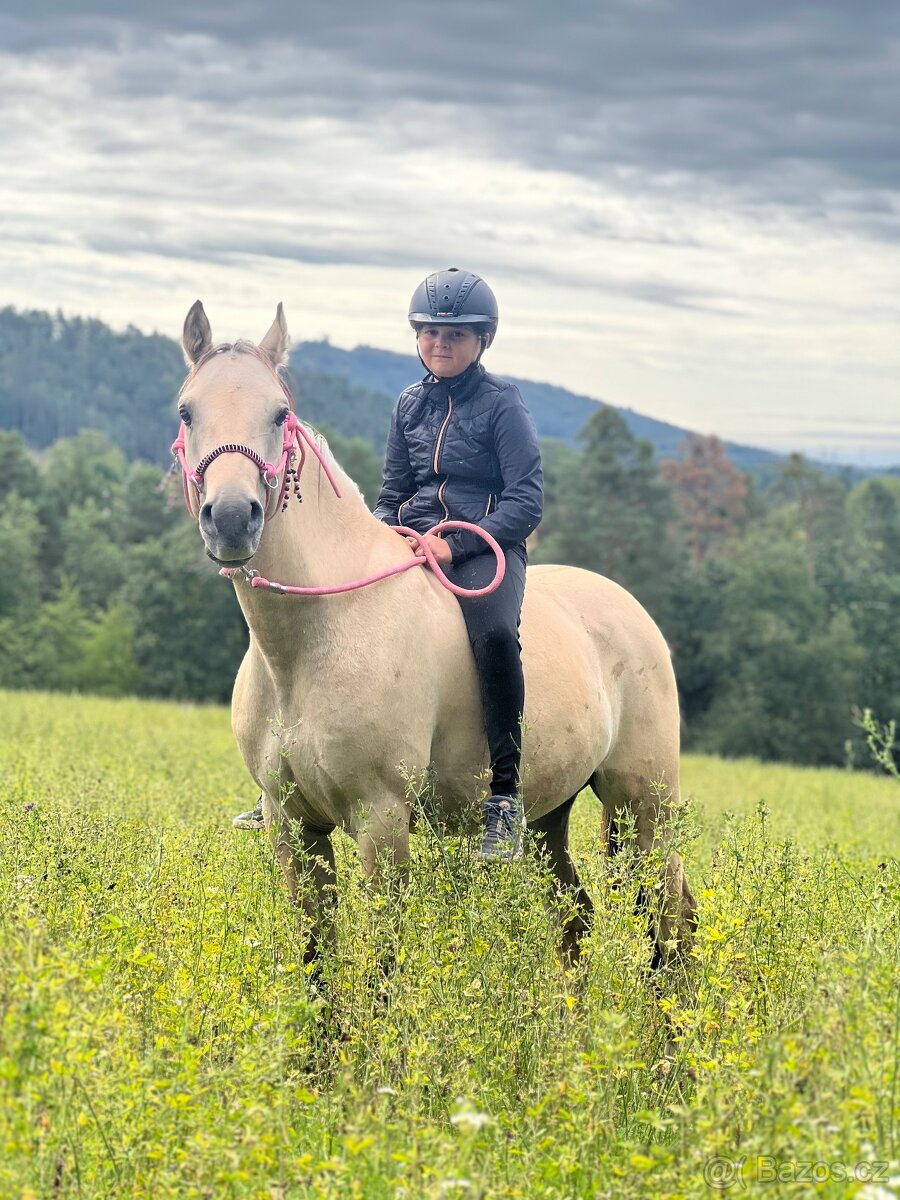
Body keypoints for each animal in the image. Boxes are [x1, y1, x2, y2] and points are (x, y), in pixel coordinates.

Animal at [175, 300, 696, 973]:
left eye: (279, 414)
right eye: (187, 411)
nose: (234, 518)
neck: (316, 639)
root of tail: (631, 611)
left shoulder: (382, 821)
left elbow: (381, 965)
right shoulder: (293, 827)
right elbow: (317, 961)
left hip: (643, 808)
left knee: (671, 919)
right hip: (550, 814)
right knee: (575, 917)